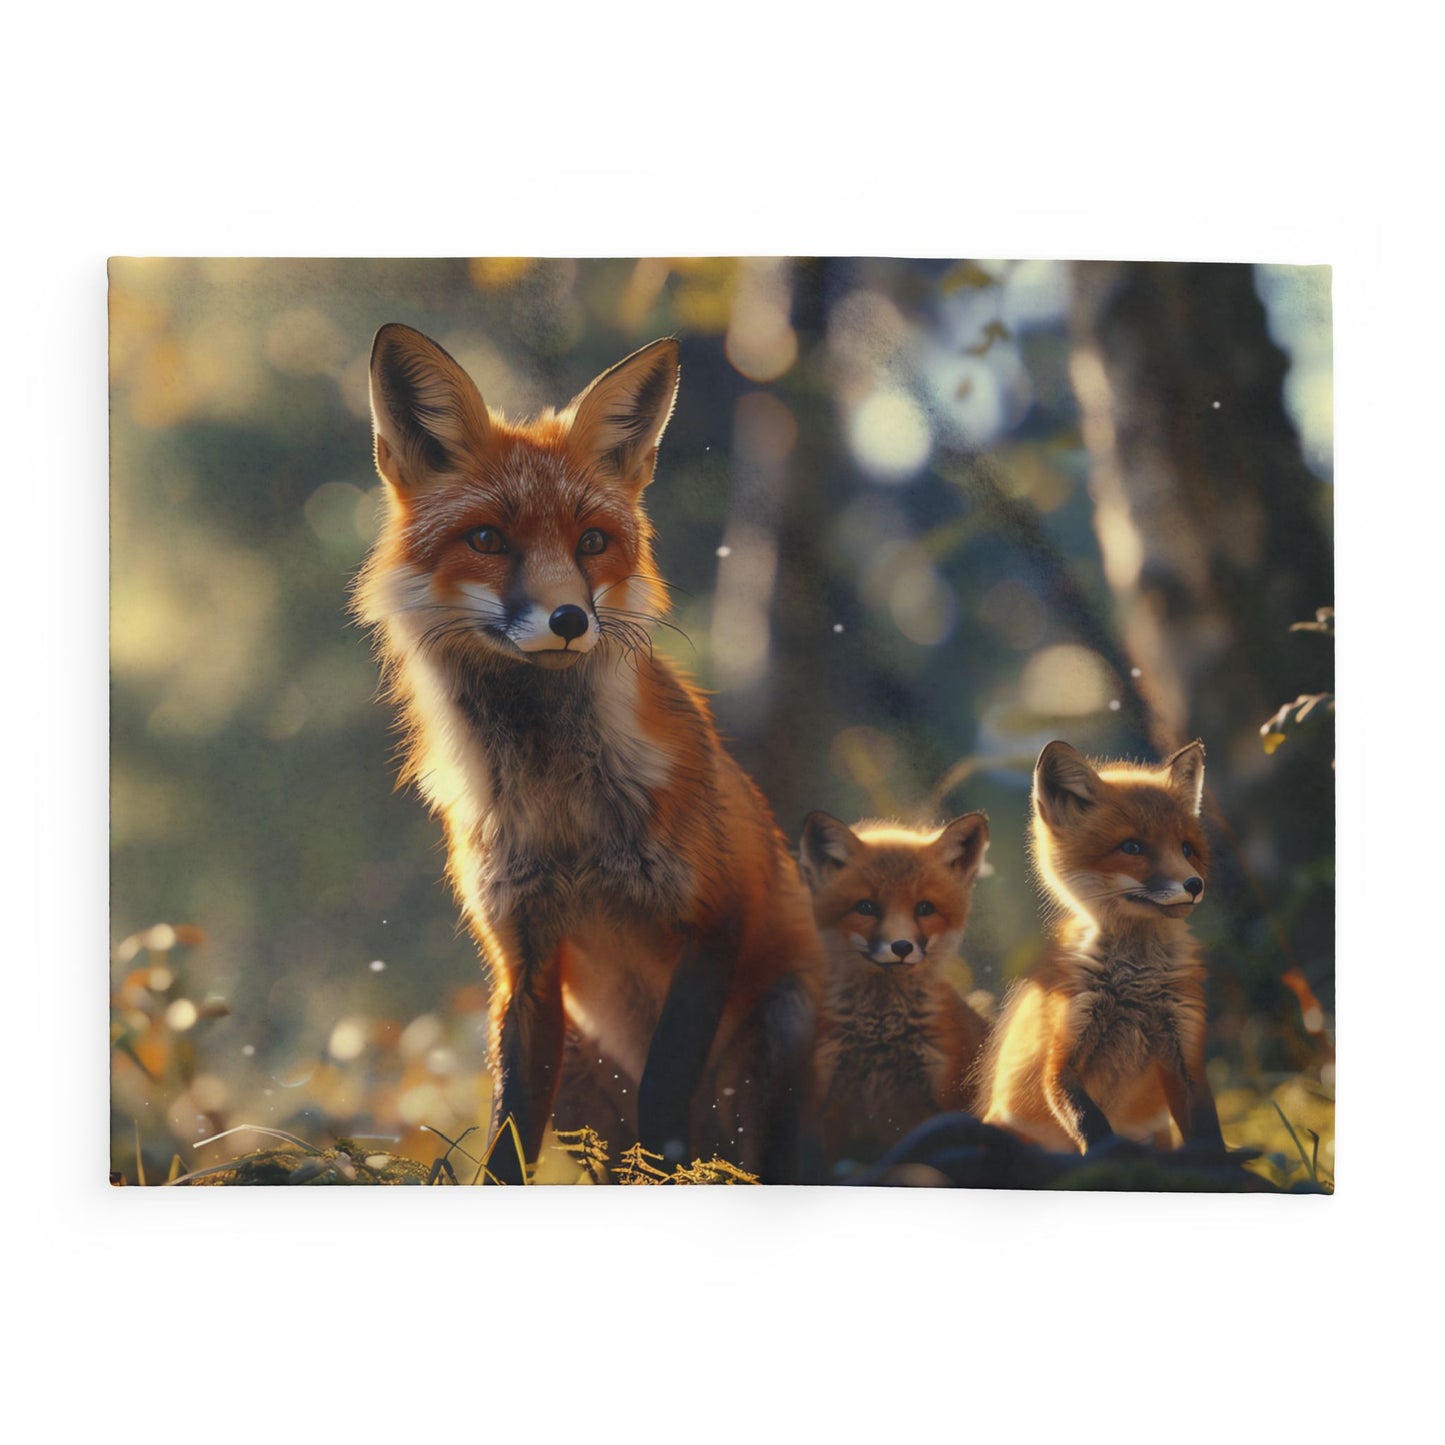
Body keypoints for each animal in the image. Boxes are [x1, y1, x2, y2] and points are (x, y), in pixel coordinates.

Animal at [354, 324, 824, 1183]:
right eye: (487, 539)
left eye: (594, 542)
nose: (569, 619)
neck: (562, 805)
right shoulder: (525, 958)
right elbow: (507, 1133)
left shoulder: (715, 917)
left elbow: (663, 1103)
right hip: (577, 1056)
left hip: (786, 1017)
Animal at [799, 811, 992, 1169]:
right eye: (866, 907)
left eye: (925, 908)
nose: (901, 947)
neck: (881, 1032)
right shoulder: (823, 1096)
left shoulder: (945, 1098)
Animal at [975, 739, 1225, 1154]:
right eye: (1132, 846)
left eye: (1187, 848)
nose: (1194, 885)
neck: (1137, 979)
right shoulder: (1061, 1056)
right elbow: (1090, 1125)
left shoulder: (1186, 1049)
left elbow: (1211, 1137)